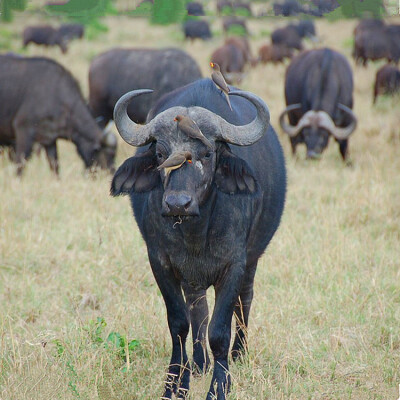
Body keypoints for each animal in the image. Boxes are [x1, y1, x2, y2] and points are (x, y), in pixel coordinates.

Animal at [111, 77, 286, 396]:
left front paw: (220, 386)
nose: (177, 204)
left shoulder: (234, 265)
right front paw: (175, 384)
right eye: (160, 154)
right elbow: (180, 323)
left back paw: (239, 354)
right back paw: (200, 363)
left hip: (253, 259)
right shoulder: (161, 263)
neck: (195, 232)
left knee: (245, 301)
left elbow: (220, 330)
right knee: (199, 311)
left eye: (207, 154)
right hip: (192, 279)